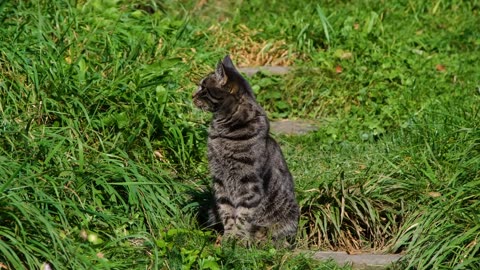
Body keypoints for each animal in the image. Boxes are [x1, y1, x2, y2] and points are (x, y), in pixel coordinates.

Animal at [192, 54, 298, 245]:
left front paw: (240, 240)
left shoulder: (249, 183)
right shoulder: (219, 180)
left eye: (203, 87)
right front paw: (229, 237)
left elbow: (243, 215)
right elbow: (227, 212)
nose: (192, 95)